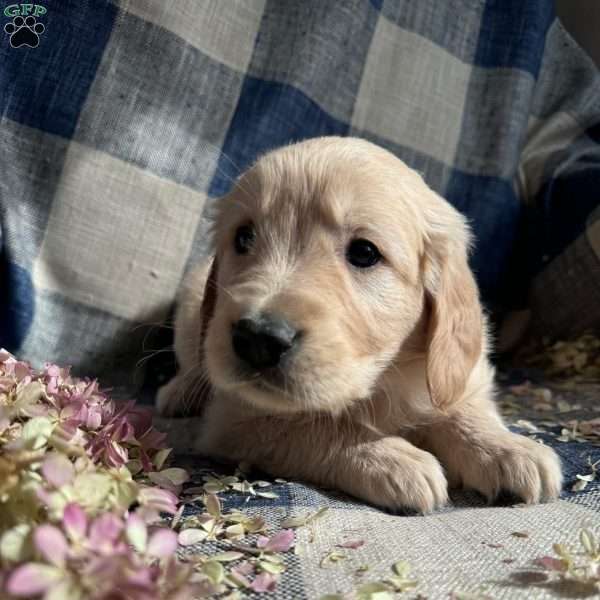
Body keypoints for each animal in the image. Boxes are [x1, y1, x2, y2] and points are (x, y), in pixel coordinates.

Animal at [156, 136, 564, 510]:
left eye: (364, 252)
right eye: (244, 238)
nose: (257, 338)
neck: (381, 379)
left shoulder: (464, 370)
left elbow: (462, 407)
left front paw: (505, 449)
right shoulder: (233, 419)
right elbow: (310, 425)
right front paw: (388, 458)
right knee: (193, 361)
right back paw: (179, 392)